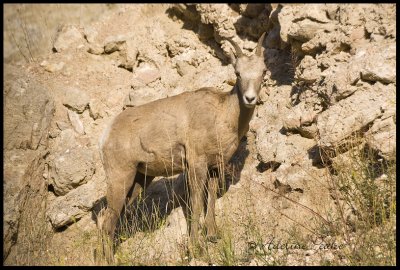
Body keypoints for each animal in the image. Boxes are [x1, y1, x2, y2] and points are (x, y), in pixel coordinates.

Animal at [98, 31, 268, 262]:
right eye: (238, 73)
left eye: (263, 72)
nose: (250, 98)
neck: (224, 114)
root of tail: (106, 134)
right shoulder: (196, 166)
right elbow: (196, 204)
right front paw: (196, 249)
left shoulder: (213, 168)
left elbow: (211, 199)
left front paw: (212, 235)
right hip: (120, 178)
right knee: (107, 223)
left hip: (138, 181)